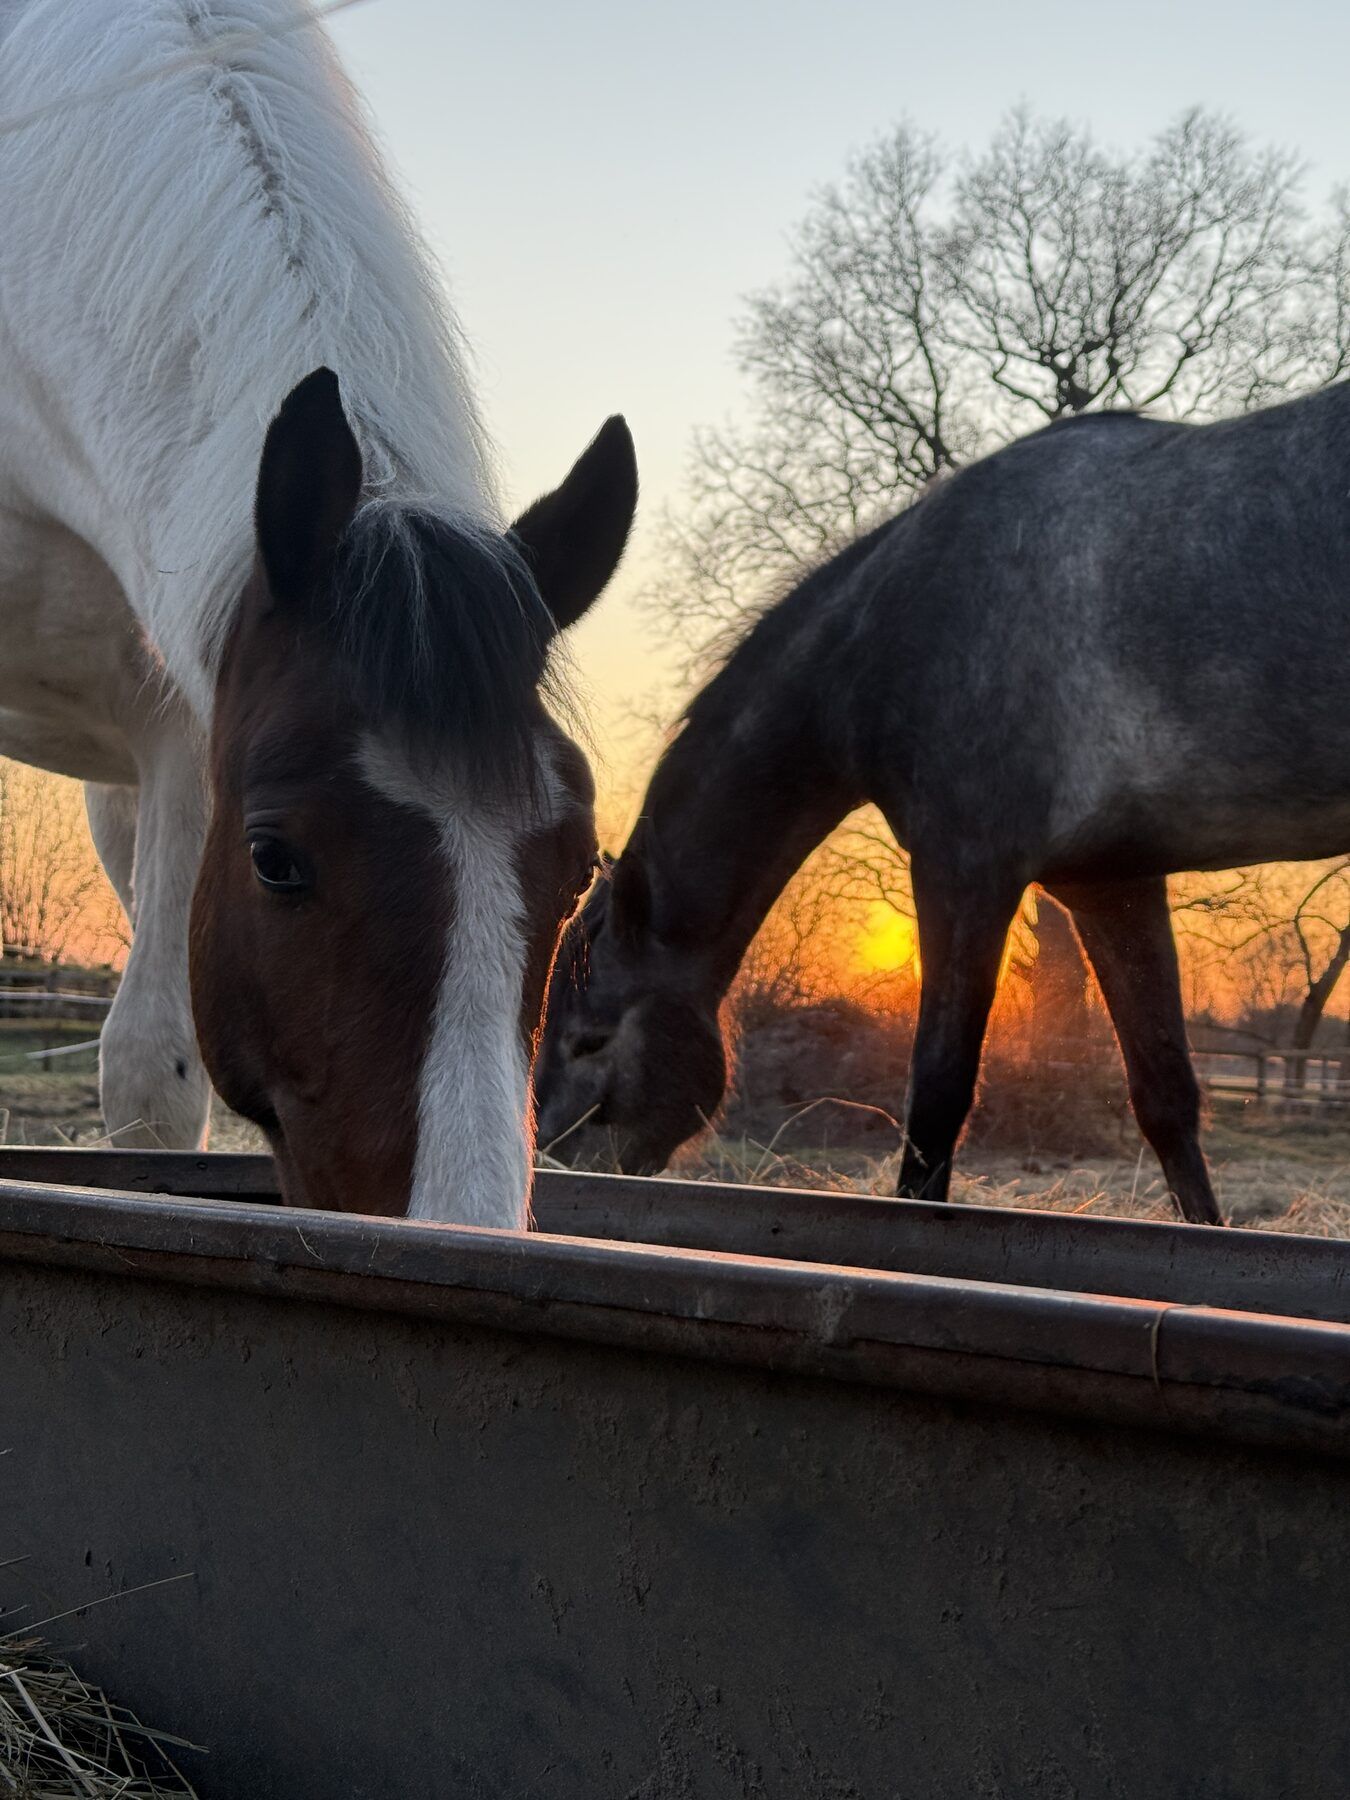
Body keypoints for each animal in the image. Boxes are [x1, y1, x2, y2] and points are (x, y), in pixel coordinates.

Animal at [537, 385, 1350, 1226]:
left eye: (591, 1039)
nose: (560, 1165)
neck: (886, 629)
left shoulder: (964, 872)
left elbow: (936, 1101)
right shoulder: (1110, 882)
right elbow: (1165, 1099)